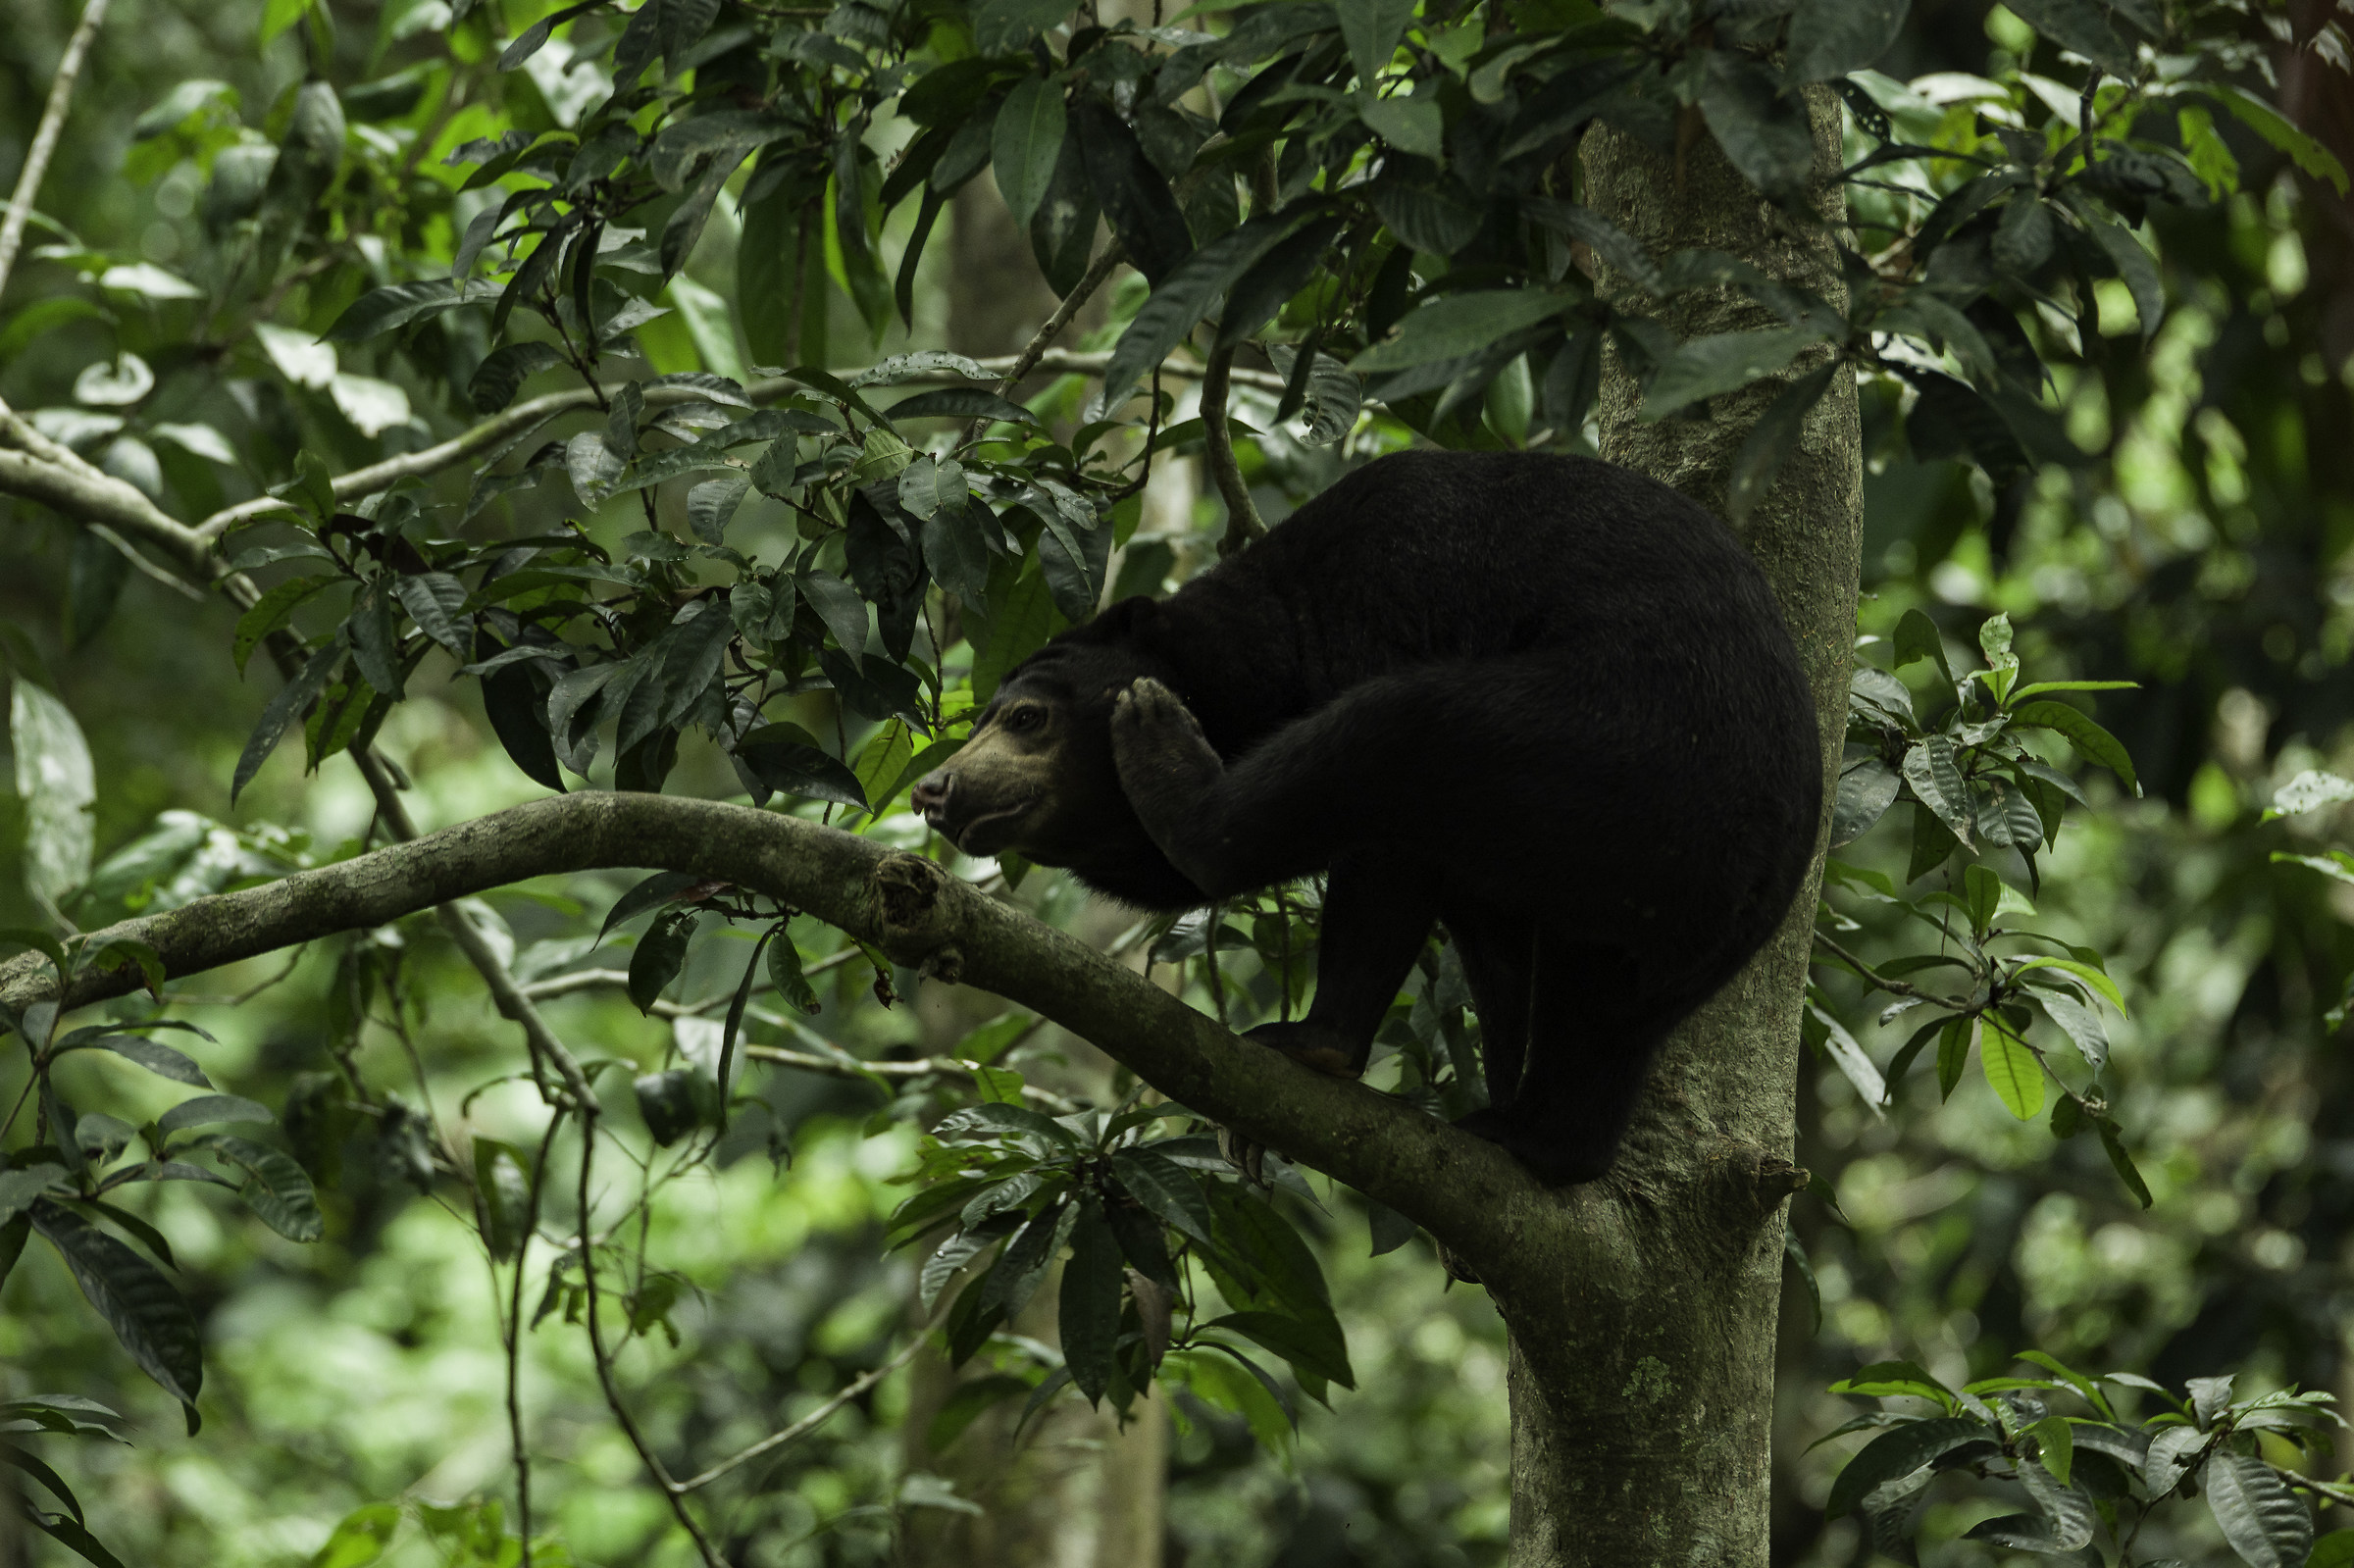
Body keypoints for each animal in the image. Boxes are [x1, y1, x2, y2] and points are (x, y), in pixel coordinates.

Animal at [910, 449, 1822, 1185]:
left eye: (1026, 718)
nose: (935, 789)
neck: (1278, 637)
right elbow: (1492, 944)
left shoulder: (1389, 602)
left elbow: (1386, 861)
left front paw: (1314, 1044)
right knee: (1599, 1009)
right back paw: (1537, 1139)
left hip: (1628, 749)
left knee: (1403, 729)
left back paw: (1169, 766)